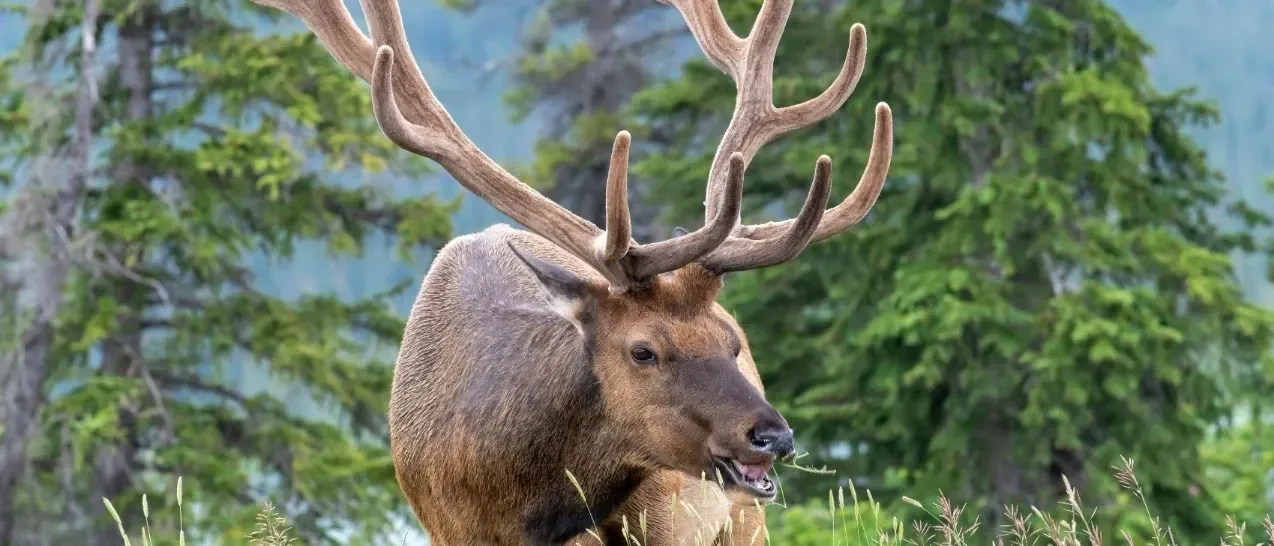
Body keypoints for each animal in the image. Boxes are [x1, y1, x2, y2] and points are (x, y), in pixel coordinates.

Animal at [250, 0, 892, 544]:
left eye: (731, 343)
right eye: (642, 350)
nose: (773, 435)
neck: (509, 501)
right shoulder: (444, 528)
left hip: (729, 518)